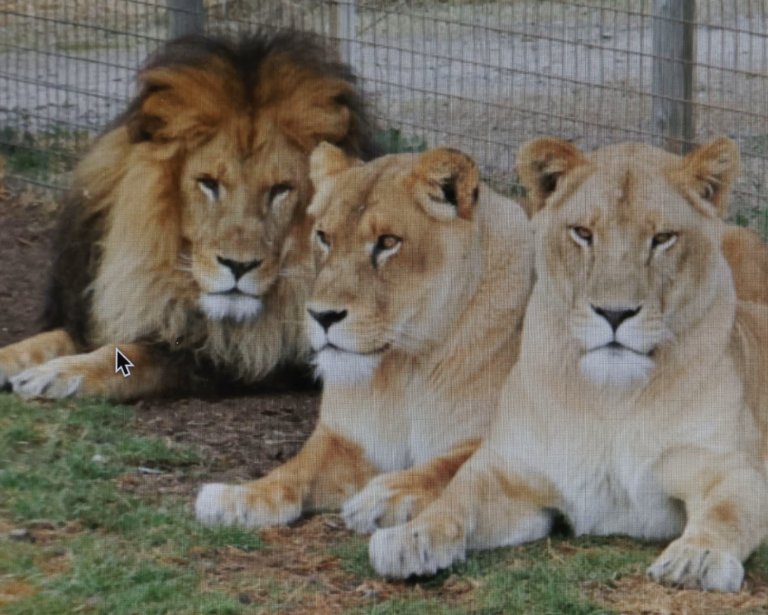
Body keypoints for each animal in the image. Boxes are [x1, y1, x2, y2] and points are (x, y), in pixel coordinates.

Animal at [0, 32, 377, 400]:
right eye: (208, 183)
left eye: (280, 190)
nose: (238, 266)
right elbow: (45, 341)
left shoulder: (230, 357)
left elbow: (131, 355)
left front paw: (60, 373)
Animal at [194, 143, 534, 529]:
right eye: (324, 238)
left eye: (387, 242)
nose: (322, 316)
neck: (402, 369)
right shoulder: (344, 437)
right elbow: (296, 468)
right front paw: (238, 497)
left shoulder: (511, 441)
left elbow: (448, 465)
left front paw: (386, 494)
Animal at [370, 137, 768, 593]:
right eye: (583, 233)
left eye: (663, 238)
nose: (614, 313)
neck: (610, 398)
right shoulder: (509, 469)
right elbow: (455, 498)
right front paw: (409, 538)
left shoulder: (731, 470)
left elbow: (727, 513)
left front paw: (697, 557)